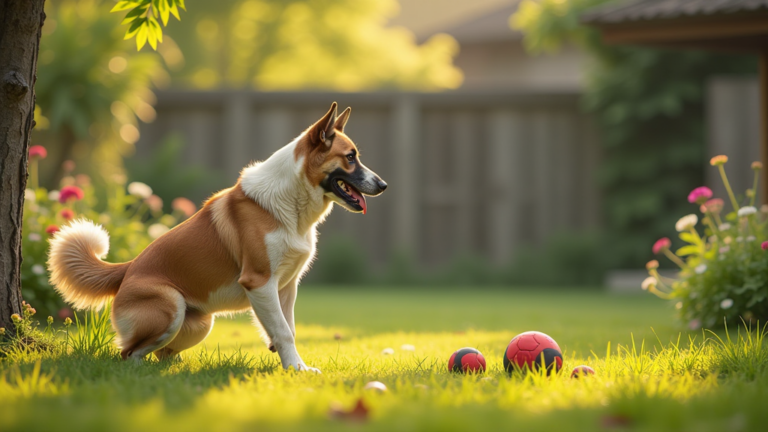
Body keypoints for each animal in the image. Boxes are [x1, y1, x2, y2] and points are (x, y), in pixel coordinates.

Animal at [46, 102, 390, 372]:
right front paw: (296, 370)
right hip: (171, 307)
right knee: (128, 354)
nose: (384, 185)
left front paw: (293, 364)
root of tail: (127, 268)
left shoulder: (287, 286)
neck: (288, 204)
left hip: (200, 324)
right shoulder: (259, 282)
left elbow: (288, 328)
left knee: (161, 354)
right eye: (350, 157)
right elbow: (283, 331)